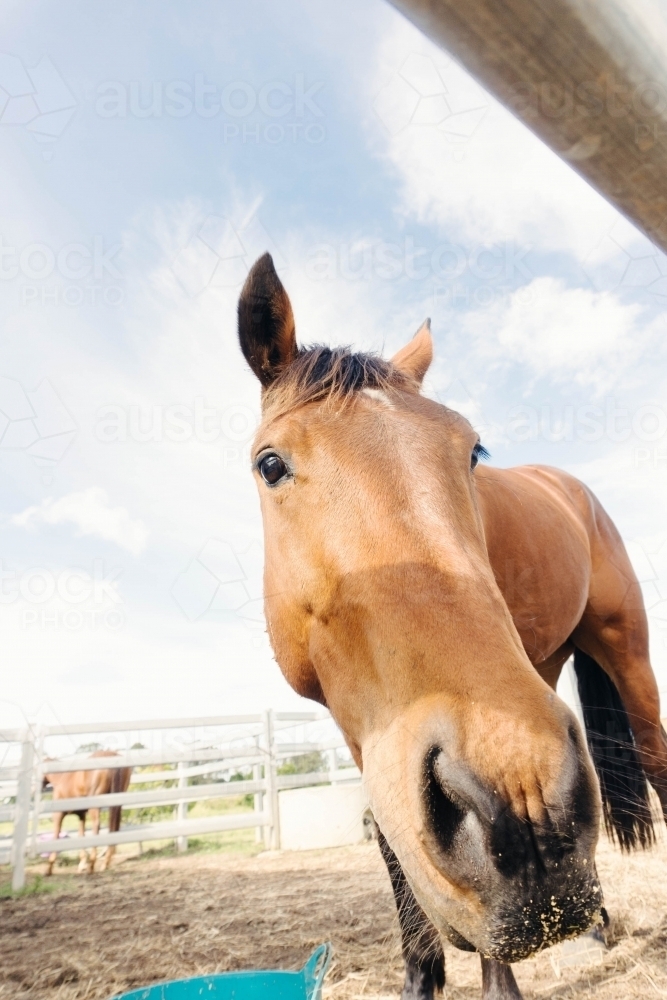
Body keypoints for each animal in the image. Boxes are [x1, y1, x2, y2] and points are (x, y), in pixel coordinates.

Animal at [236, 252, 667, 1000]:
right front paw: (420, 974)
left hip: (626, 655)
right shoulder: (365, 730)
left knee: (660, 759)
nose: (527, 811)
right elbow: (392, 845)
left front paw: (495, 985)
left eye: (471, 452)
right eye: (270, 465)